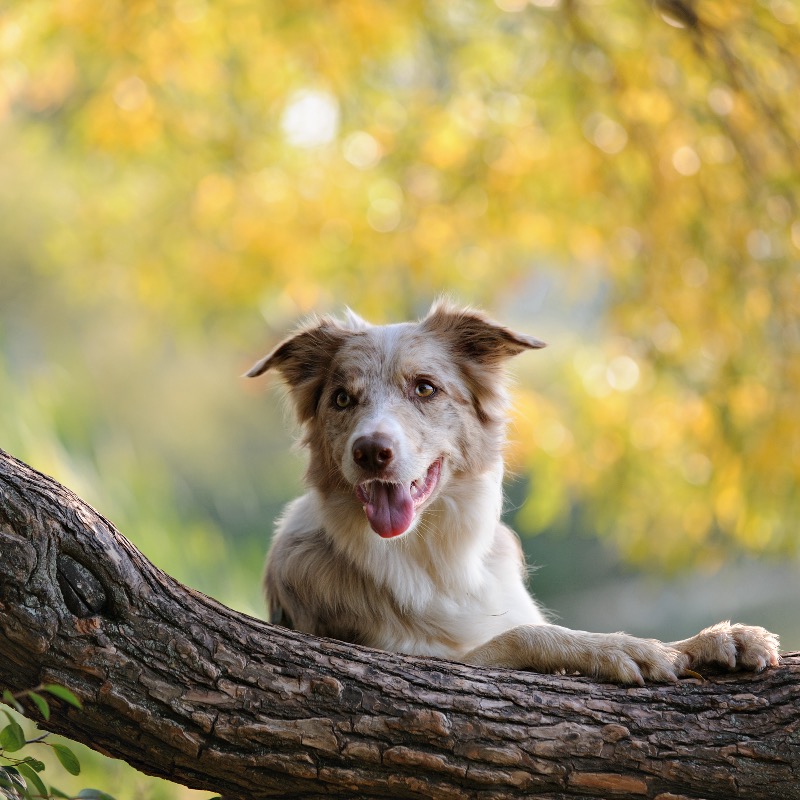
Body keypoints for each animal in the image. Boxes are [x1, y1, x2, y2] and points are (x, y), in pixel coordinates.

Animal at [247, 304, 780, 684]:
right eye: (342, 399)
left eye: (424, 388)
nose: (370, 452)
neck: (433, 556)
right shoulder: (409, 661)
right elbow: (525, 633)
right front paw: (621, 648)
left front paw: (717, 640)